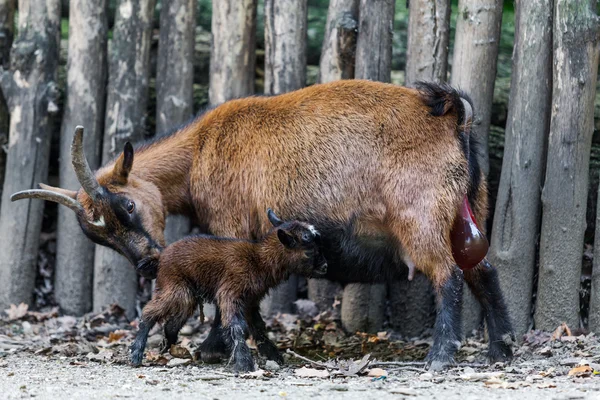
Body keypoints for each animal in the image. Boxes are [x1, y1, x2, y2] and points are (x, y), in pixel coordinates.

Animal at [130, 209, 328, 372]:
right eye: (309, 251)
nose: (325, 267)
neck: (258, 261)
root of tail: (160, 258)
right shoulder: (231, 291)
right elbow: (236, 325)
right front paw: (244, 364)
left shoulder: (250, 300)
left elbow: (258, 326)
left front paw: (274, 355)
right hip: (174, 286)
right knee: (149, 311)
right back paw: (136, 353)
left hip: (185, 291)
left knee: (175, 318)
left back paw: (166, 343)